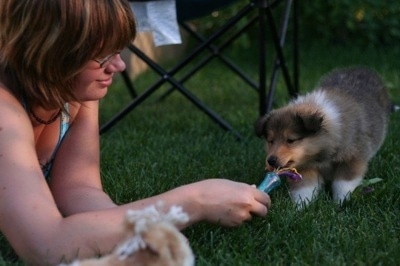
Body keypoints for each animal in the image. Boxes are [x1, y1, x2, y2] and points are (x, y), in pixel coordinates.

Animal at [256, 66, 390, 206]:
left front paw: (340, 202)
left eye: (291, 140)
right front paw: (300, 207)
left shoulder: (353, 158)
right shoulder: (305, 166)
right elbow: (304, 189)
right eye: (270, 141)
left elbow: (343, 184)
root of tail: (361, 68)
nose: (271, 160)